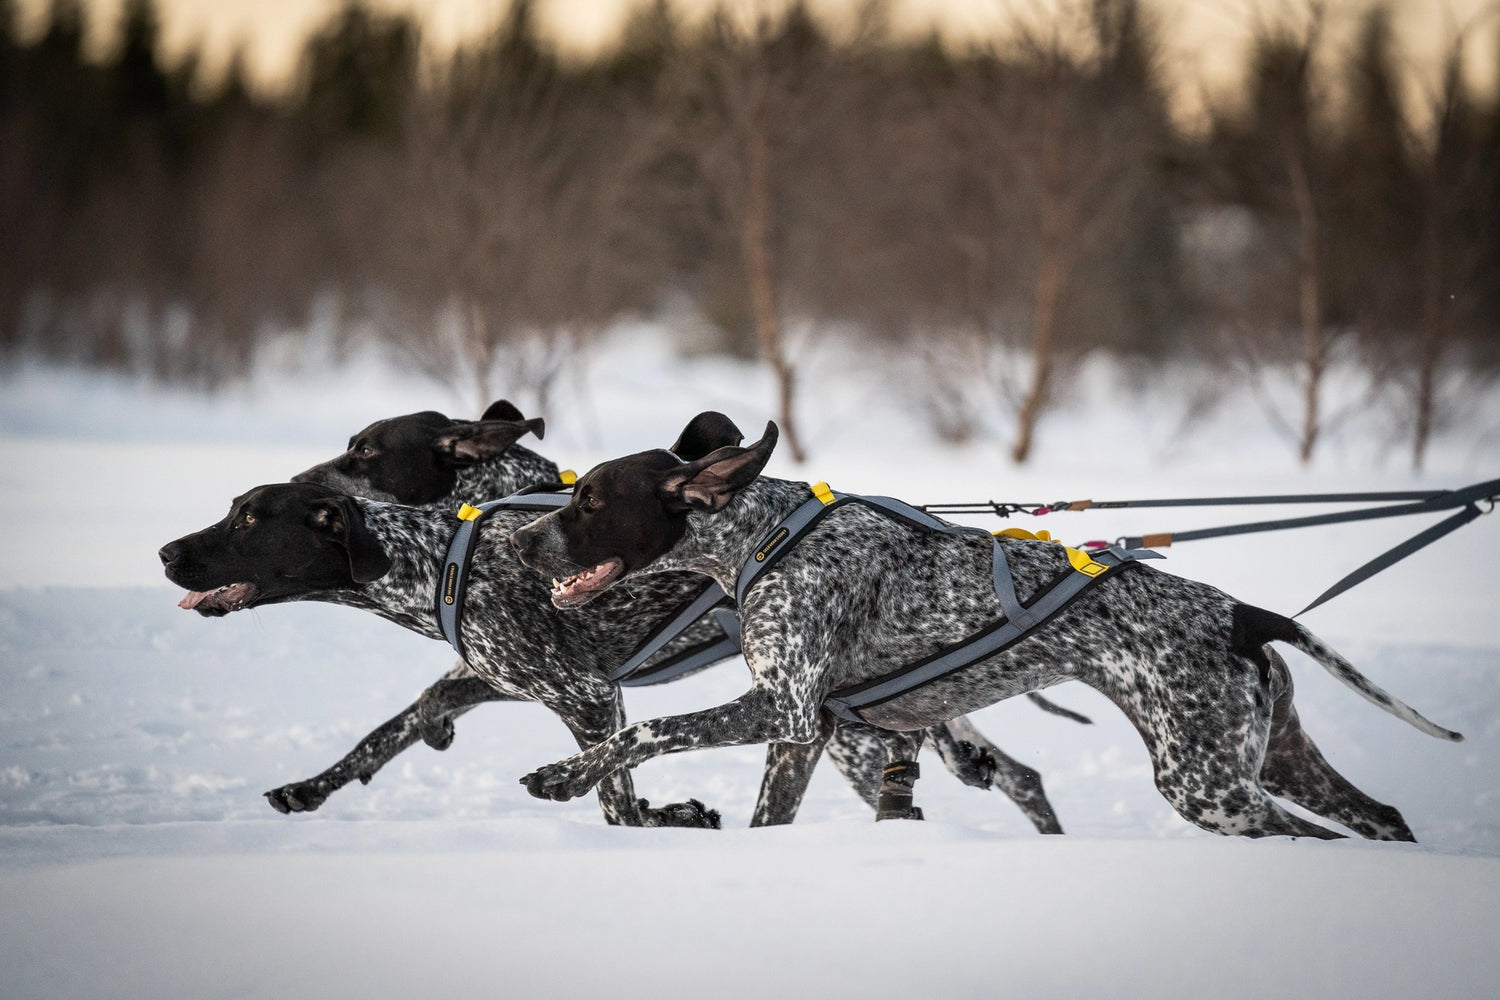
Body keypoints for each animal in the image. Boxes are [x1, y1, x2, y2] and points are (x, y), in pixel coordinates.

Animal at [164, 407, 1074, 827]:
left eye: (250, 519)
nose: (169, 552)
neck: (446, 548)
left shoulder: (588, 696)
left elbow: (617, 791)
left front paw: (664, 815)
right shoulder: (490, 676)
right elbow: (390, 729)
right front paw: (313, 786)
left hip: (835, 729)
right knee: (1009, 770)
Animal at [513, 419, 1464, 839]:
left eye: (589, 500)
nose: (518, 540)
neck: (766, 539)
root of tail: (1242, 613)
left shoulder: (779, 708)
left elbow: (645, 733)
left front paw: (563, 775)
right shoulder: (803, 734)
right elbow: (762, 815)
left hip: (1209, 785)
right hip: (1272, 761)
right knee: (1381, 817)